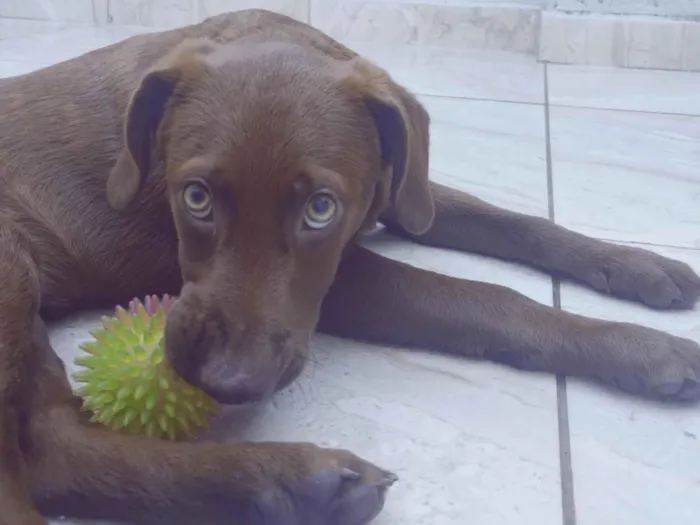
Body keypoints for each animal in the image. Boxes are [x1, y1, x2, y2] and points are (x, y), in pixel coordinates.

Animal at [1, 8, 700, 524]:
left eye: (319, 208)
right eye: (194, 197)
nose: (229, 382)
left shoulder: (400, 190)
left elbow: (513, 221)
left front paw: (637, 267)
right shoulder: (343, 285)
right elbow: (489, 299)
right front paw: (641, 348)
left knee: (56, 448)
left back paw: (292, 488)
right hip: (14, 277)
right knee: (40, 463)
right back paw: (295, 478)